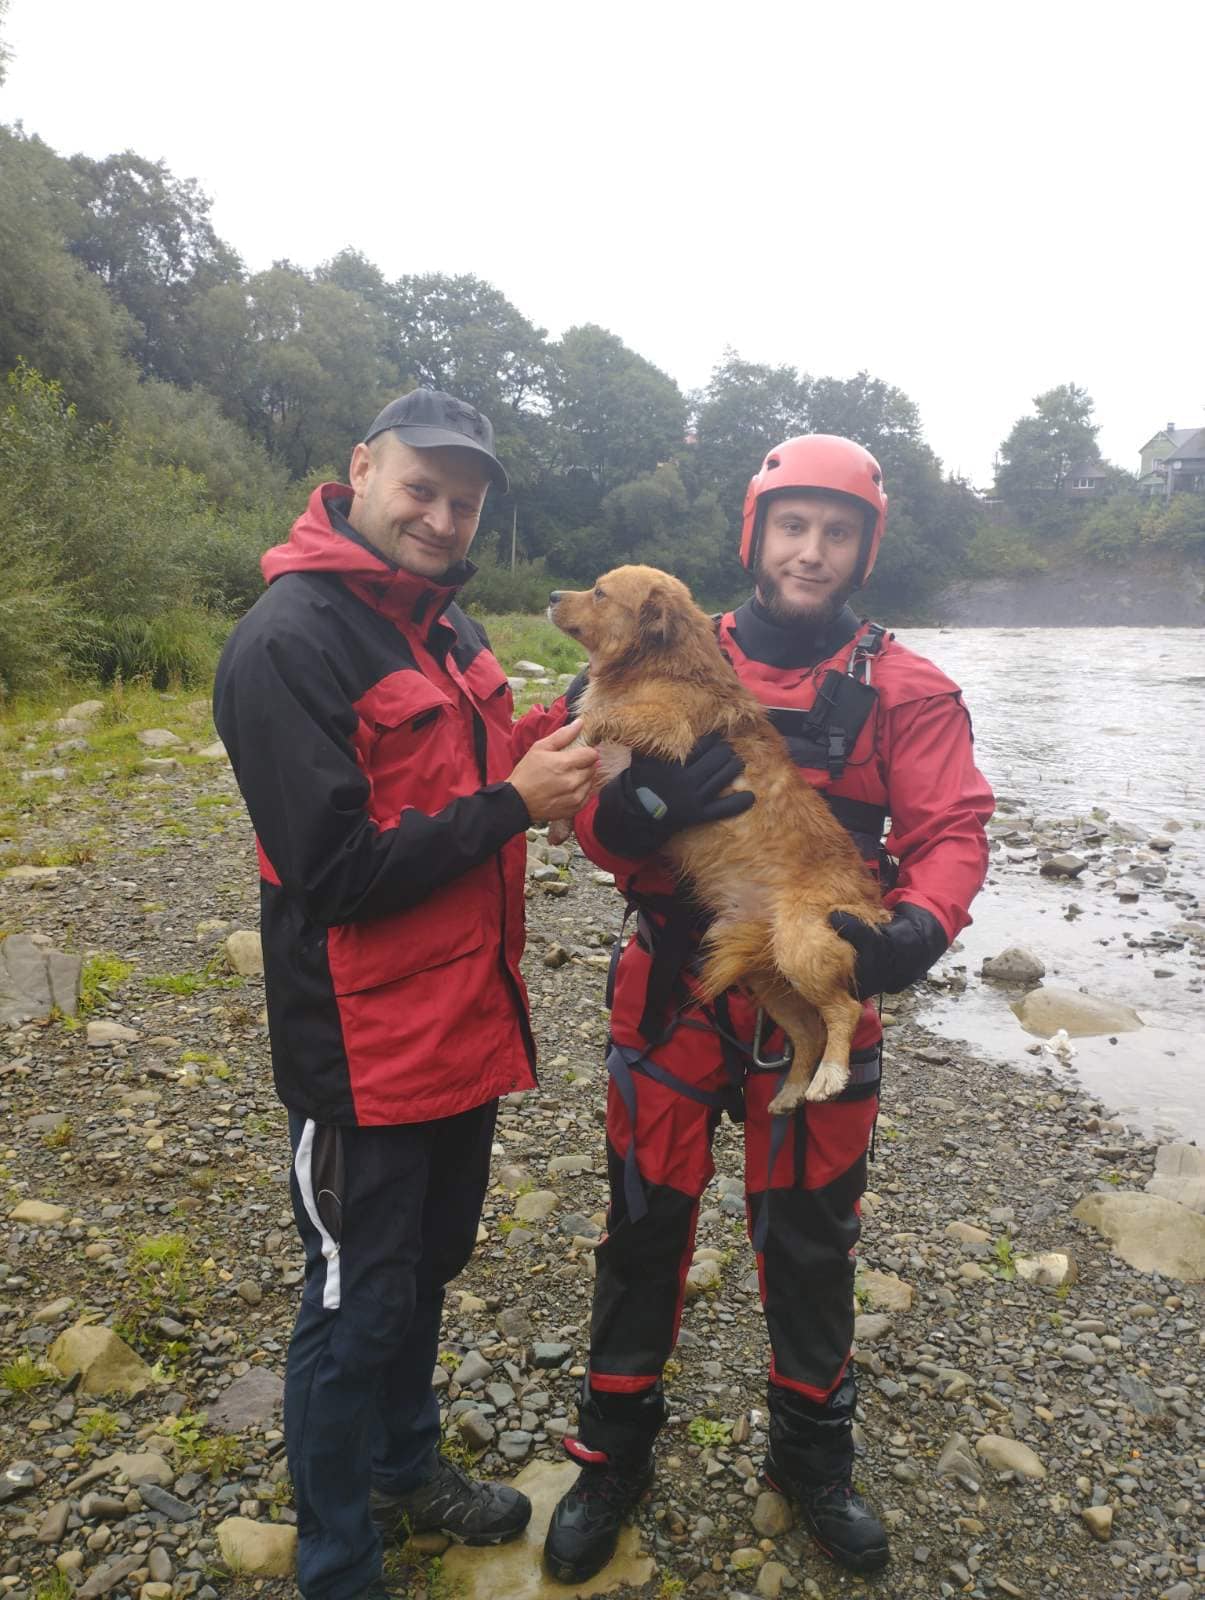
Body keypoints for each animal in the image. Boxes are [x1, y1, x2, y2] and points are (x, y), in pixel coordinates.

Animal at [550, 566, 889, 1113]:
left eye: (599, 593)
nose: (552, 594)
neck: (657, 666)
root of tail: (873, 904)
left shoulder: (667, 729)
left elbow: (594, 721)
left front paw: (575, 737)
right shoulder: (619, 771)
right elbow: (588, 773)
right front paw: (559, 820)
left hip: (801, 946)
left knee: (843, 1011)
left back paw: (829, 1077)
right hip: (763, 975)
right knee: (808, 1032)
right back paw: (790, 1091)